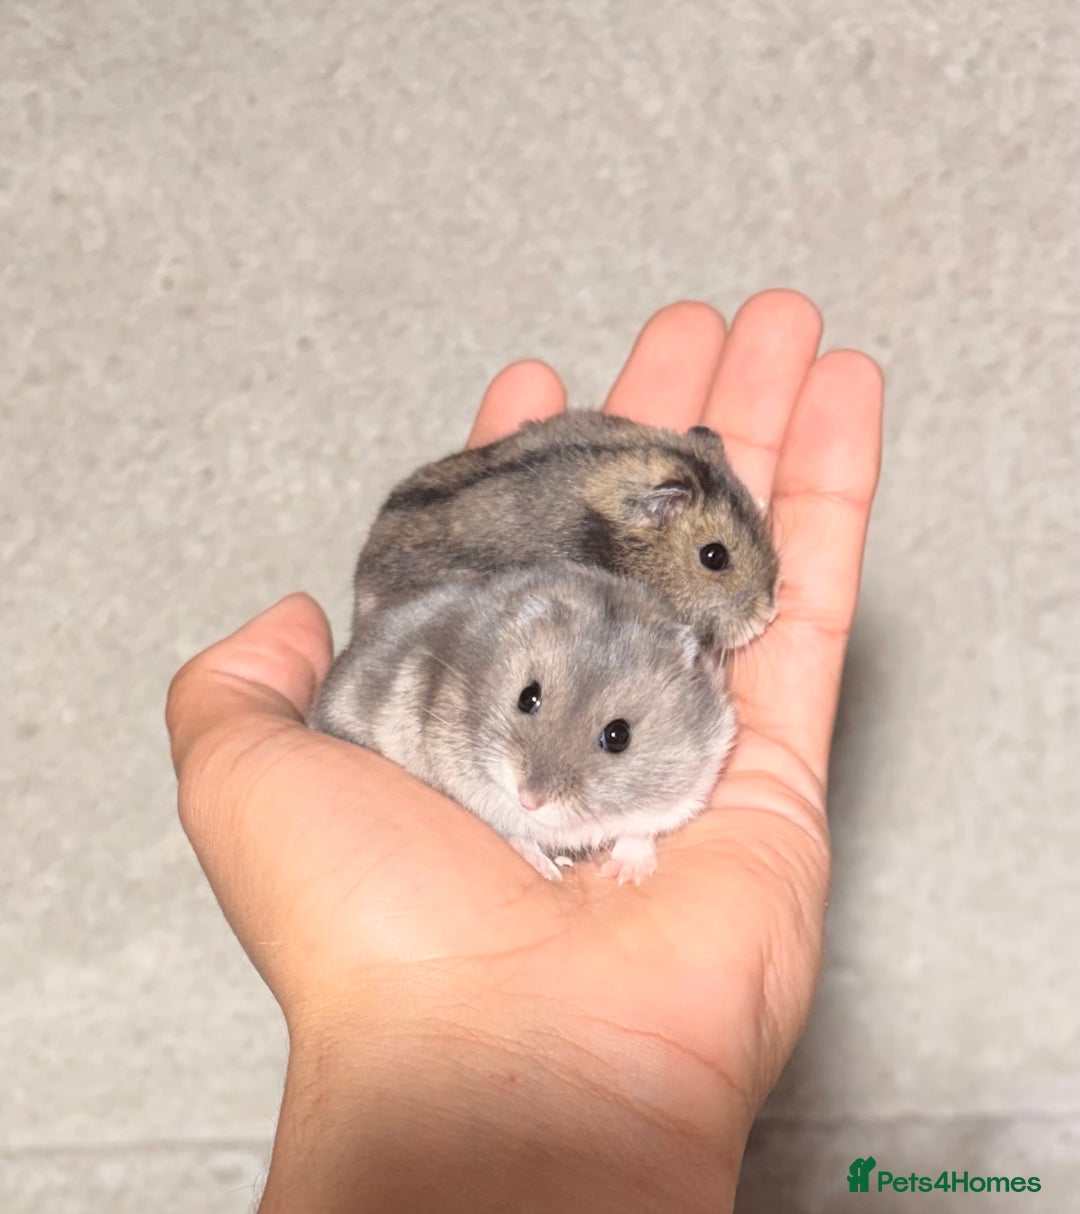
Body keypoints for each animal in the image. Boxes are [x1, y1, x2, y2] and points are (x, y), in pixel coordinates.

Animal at [312, 562, 736, 882]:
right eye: (527, 697)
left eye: (619, 736)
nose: (529, 800)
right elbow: (515, 834)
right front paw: (546, 870)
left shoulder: (687, 786)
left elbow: (638, 829)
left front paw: (626, 873)